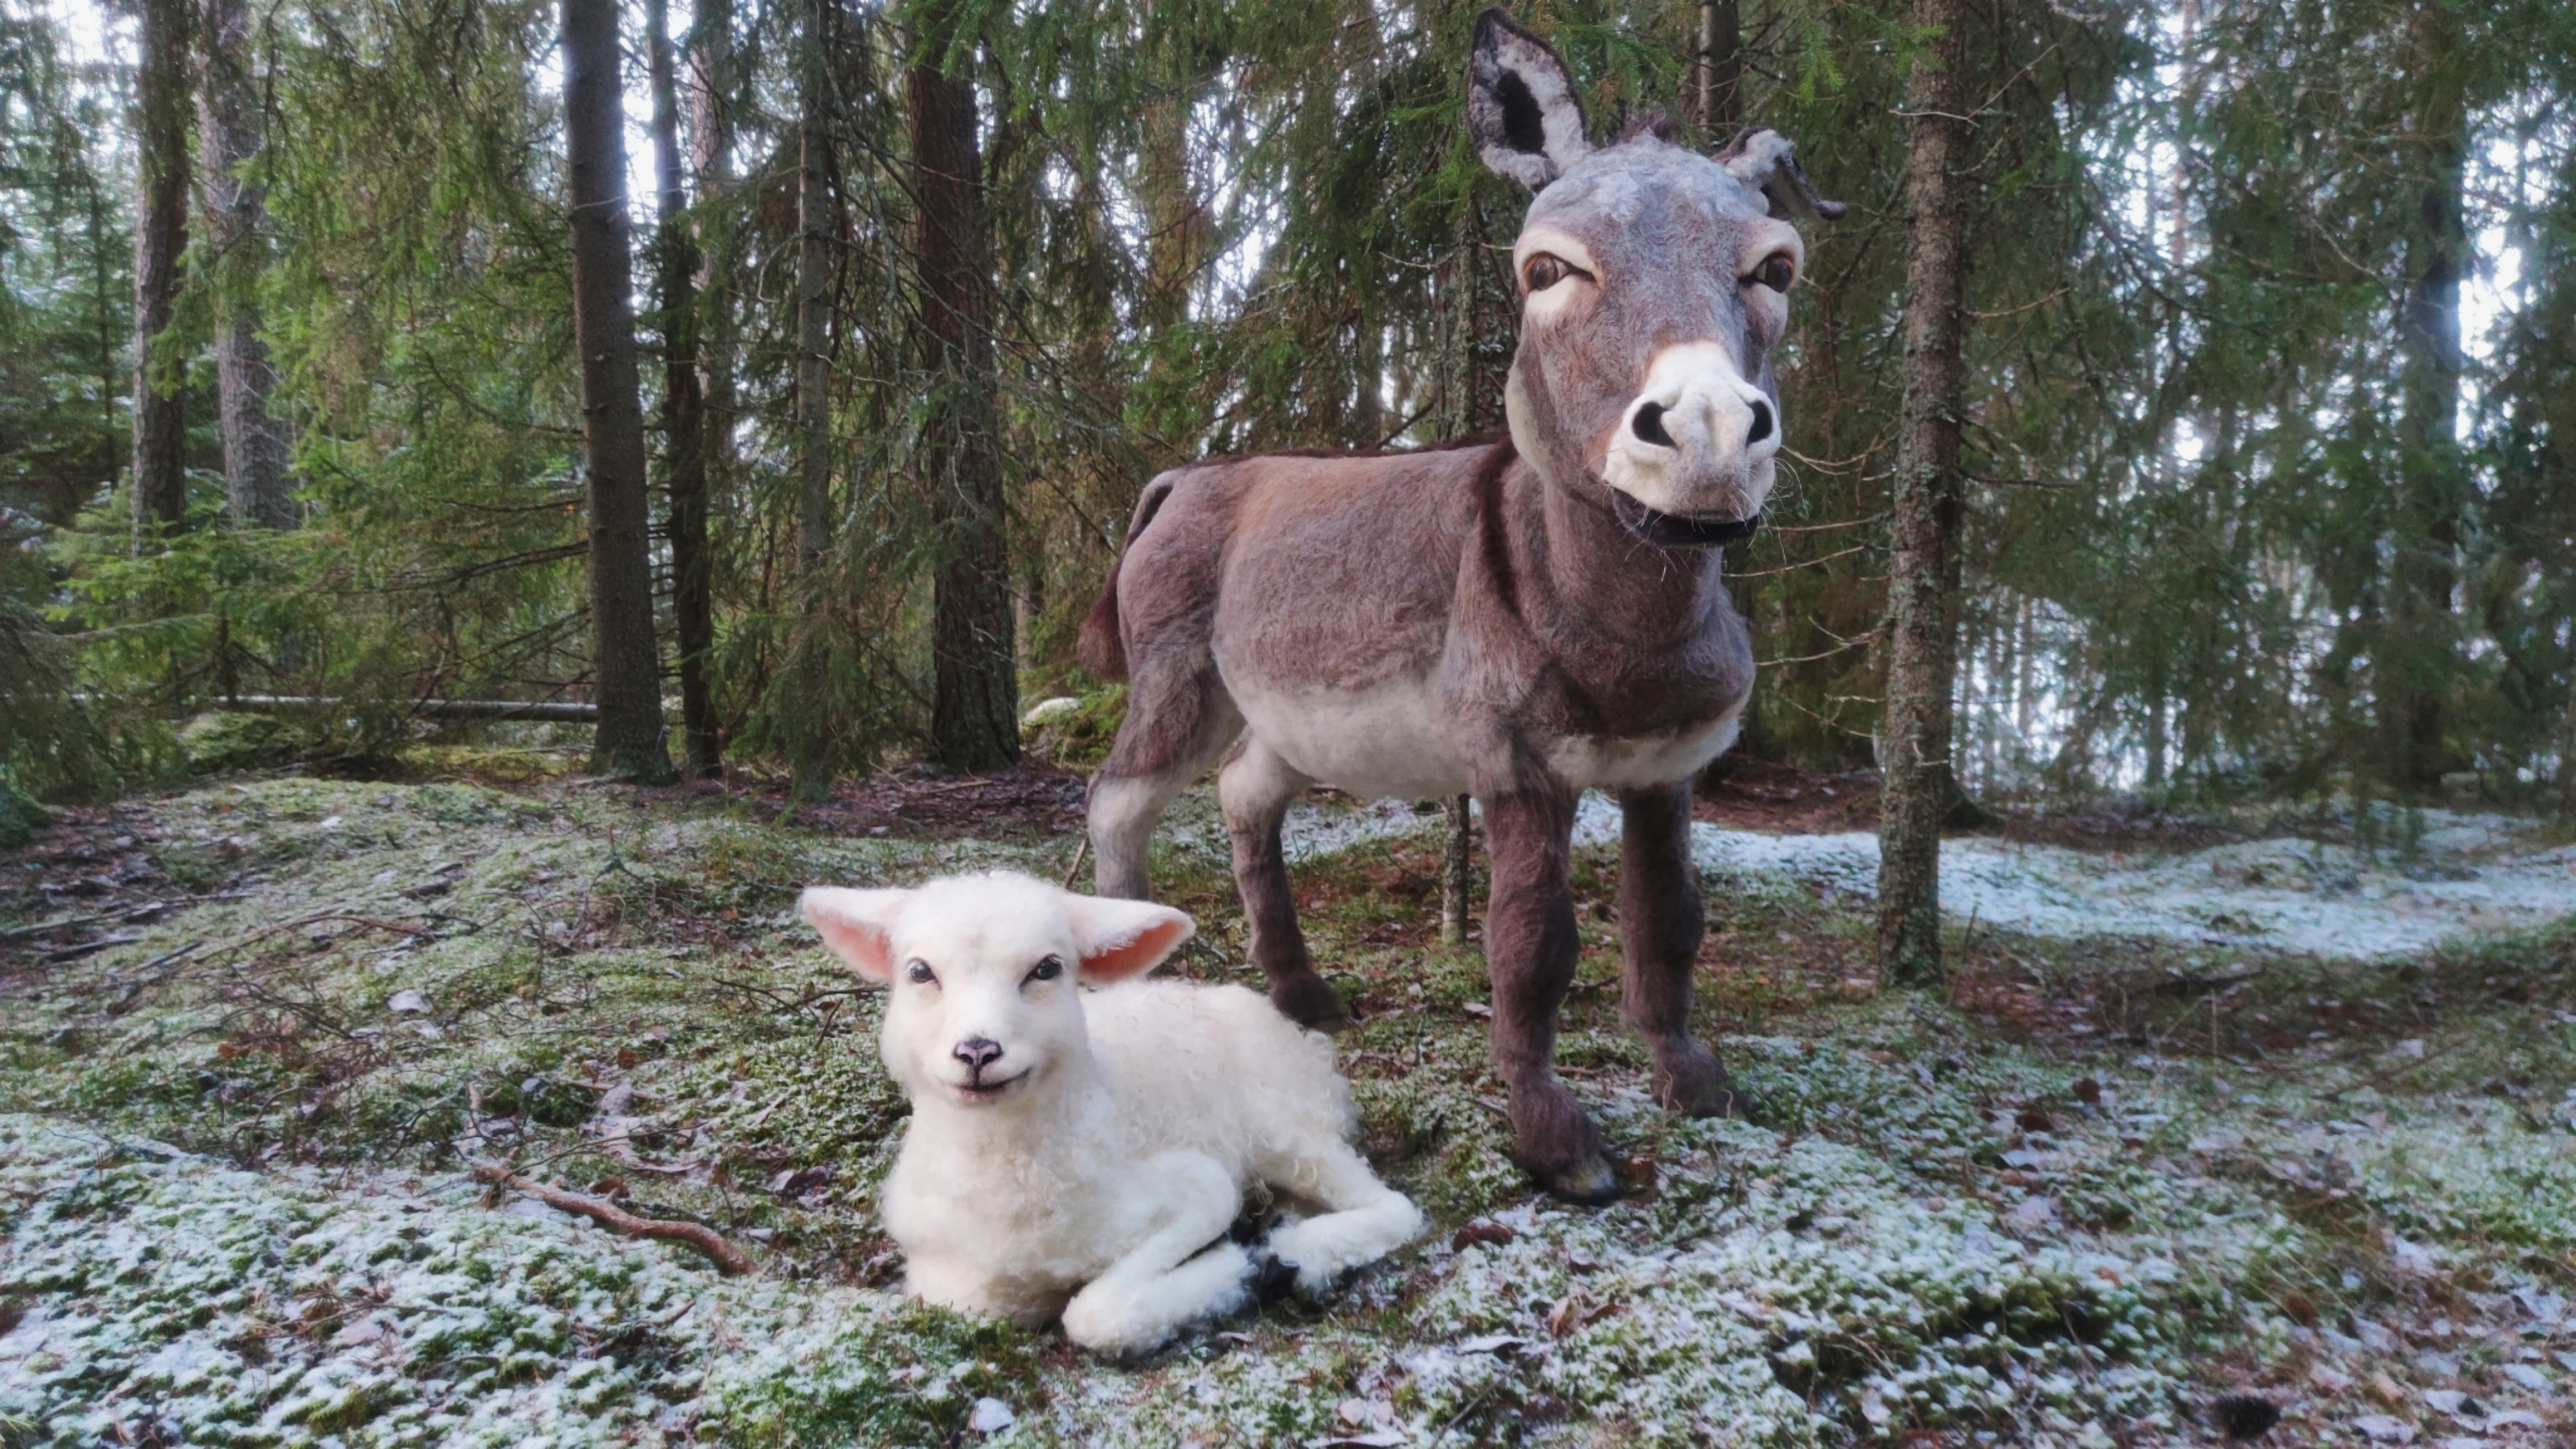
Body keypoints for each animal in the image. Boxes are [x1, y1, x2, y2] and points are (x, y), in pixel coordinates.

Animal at [798, 875, 1432, 1359]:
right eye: (920, 972)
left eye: (1047, 968)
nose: (978, 1051)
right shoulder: (951, 1278)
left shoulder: (1194, 1187)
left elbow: (1098, 1314)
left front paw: (1250, 1266)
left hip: (1286, 1127)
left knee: (1392, 1208)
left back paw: (1301, 1249)